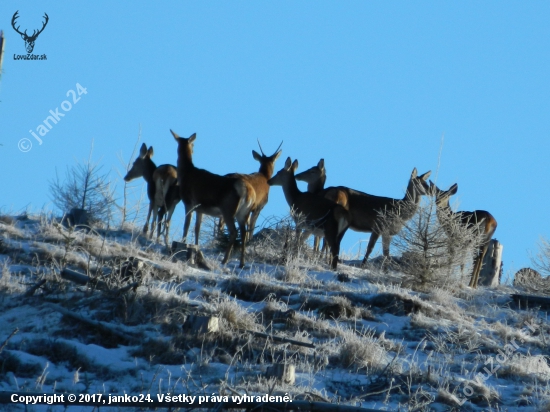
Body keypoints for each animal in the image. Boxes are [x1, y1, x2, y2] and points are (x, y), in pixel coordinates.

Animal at [171, 130, 256, 268]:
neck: (185, 174)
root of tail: (248, 191)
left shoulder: (189, 203)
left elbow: (186, 225)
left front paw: (183, 243)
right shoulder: (200, 209)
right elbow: (197, 228)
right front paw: (196, 246)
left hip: (228, 209)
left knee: (234, 232)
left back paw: (225, 260)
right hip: (243, 213)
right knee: (244, 233)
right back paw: (241, 263)